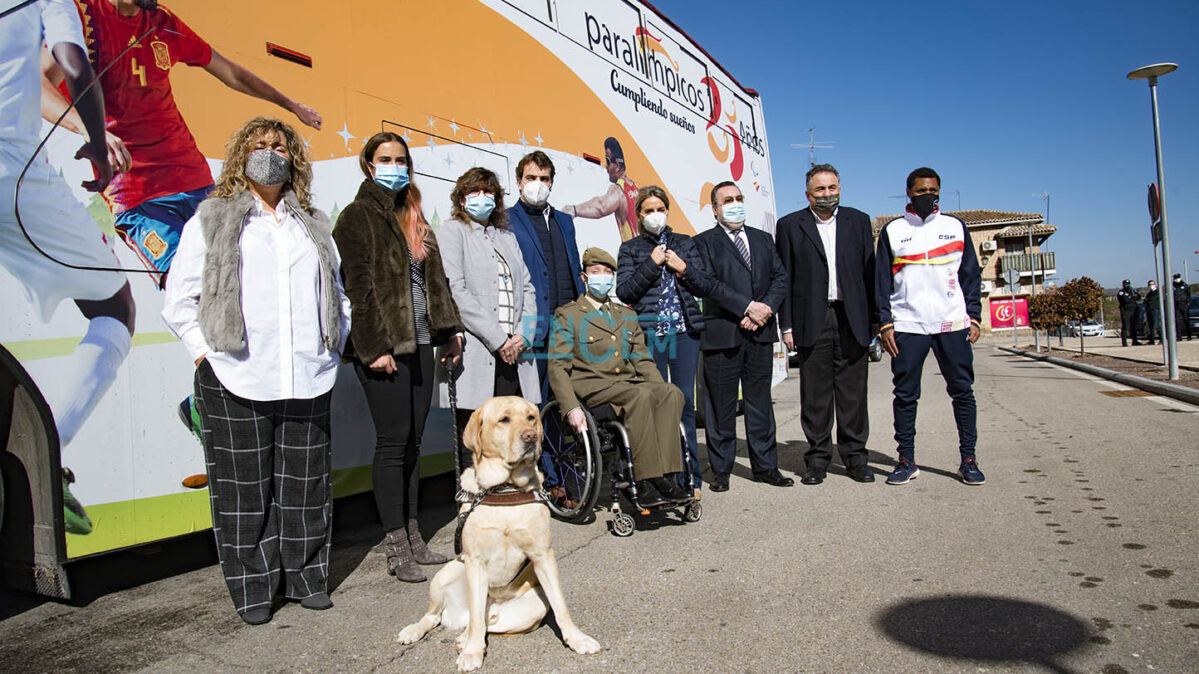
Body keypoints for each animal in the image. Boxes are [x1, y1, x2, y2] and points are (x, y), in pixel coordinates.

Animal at [395, 393, 599, 666]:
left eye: (531, 417)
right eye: (504, 420)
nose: (531, 436)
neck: (505, 489)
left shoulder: (543, 555)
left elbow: (560, 604)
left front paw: (577, 638)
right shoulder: (474, 560)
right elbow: (476, 615)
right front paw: (472, 652)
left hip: (534, 605)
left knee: (486, 621)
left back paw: (463, 638)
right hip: (446, 574)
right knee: (442, 616)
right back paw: (417, 631)